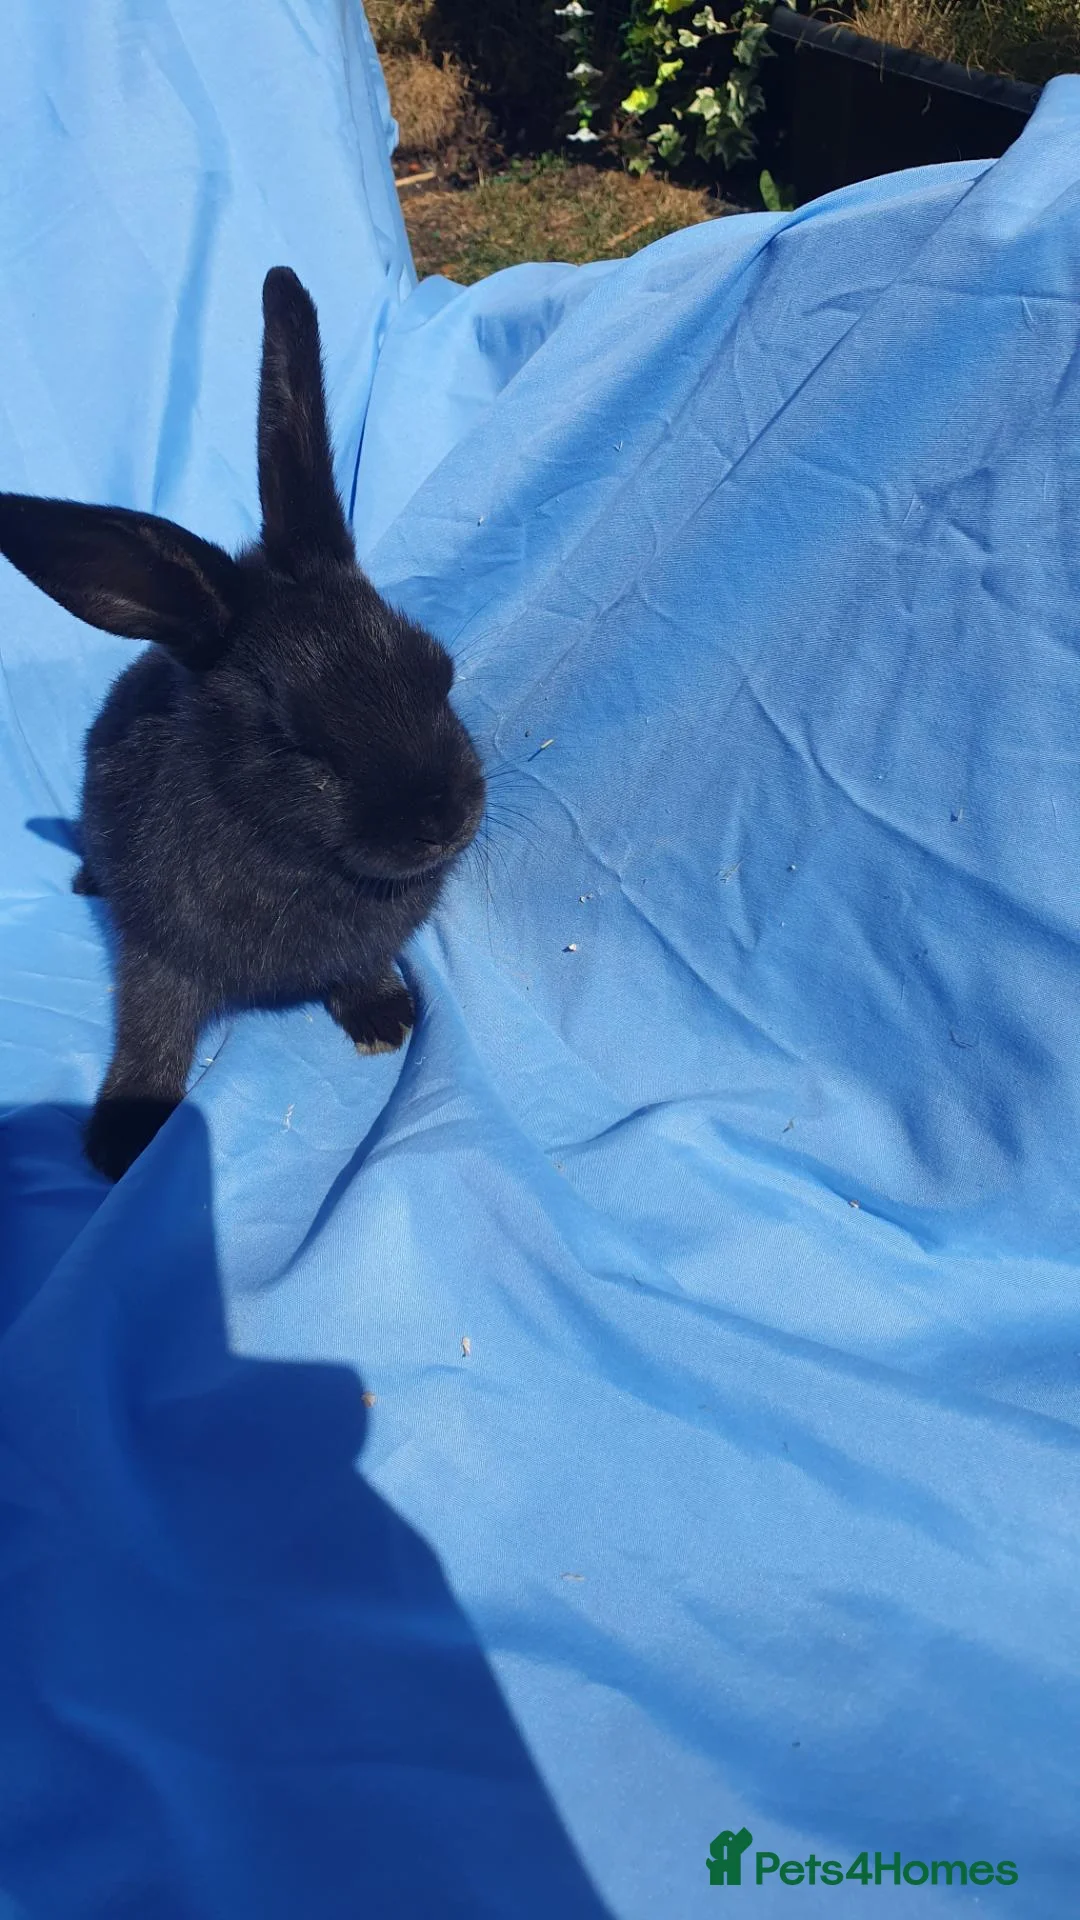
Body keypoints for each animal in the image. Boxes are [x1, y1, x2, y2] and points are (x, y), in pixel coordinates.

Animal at [0, 267, 486, 1183]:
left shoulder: (362, 942)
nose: (444, 821)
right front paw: (125, 1138)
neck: (295, 857)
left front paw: (384, 1018)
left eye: (437, 673)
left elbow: (360, 966)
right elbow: (151, 1029)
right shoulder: (158, 955)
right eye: (299, 744)